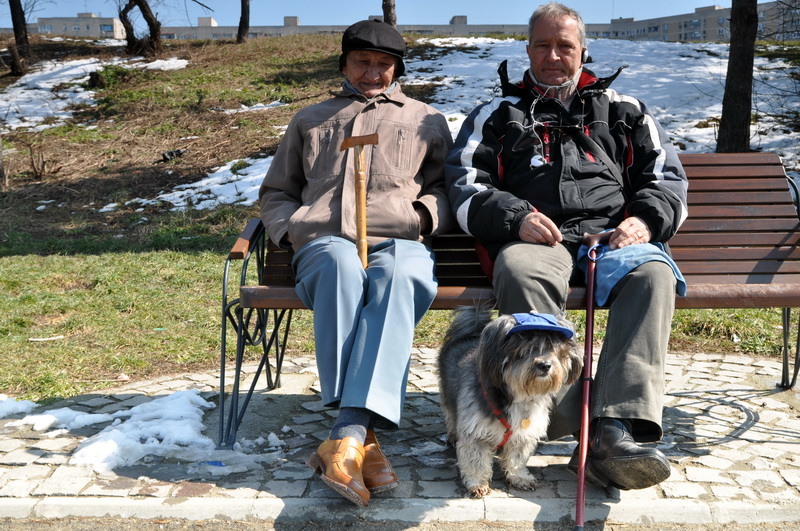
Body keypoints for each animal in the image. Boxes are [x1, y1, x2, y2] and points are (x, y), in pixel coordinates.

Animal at [437, 305, 582, 498]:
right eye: (525, 349)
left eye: (553, 349)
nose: (544, 365)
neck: (517, 396)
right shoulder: (475, 432)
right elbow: (476, 461)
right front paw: (477, 483)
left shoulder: (524, 433)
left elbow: (517, 457)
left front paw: (518, 477)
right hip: (448, 395)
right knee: (451, 415)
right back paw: (453, 434)